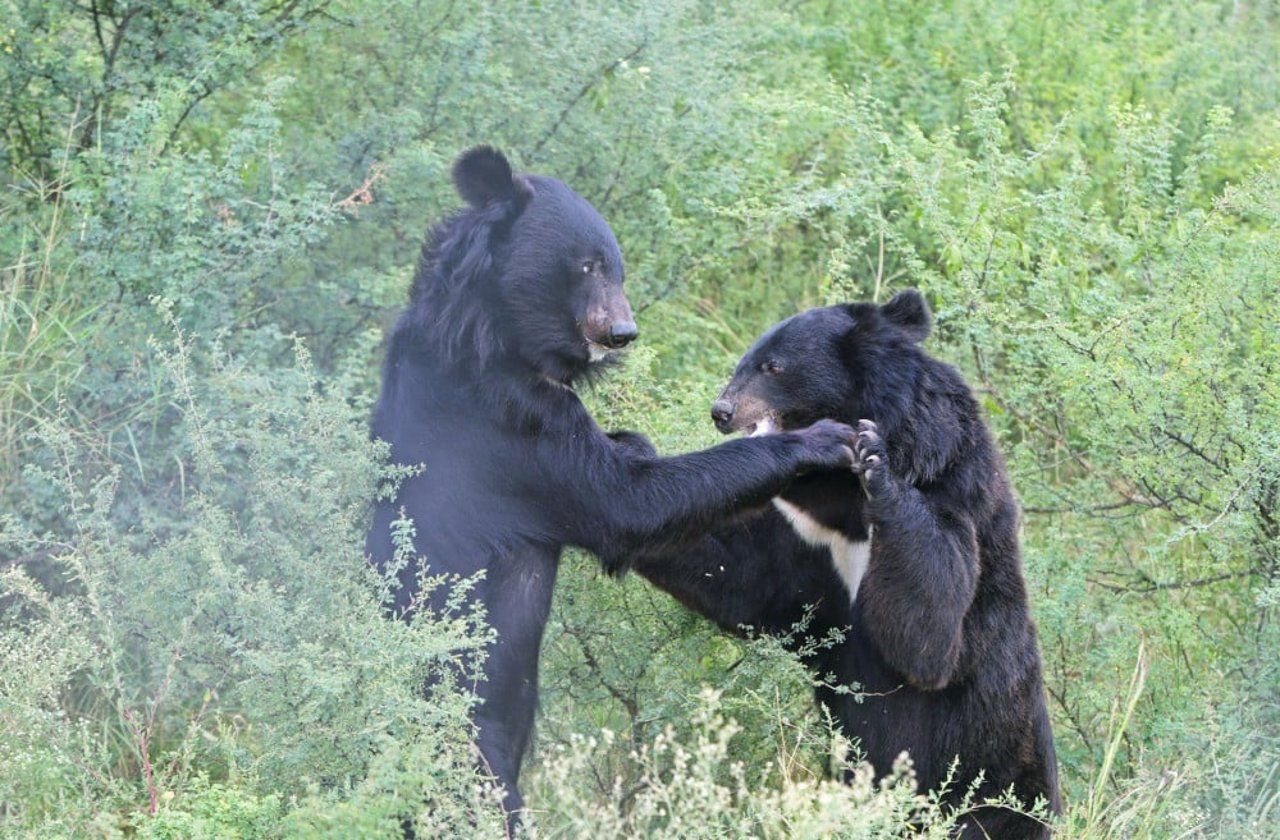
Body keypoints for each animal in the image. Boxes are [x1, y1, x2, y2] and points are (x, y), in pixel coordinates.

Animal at [363, 145, 860, 824]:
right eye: (587, 264)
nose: (623, 332)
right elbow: (624, 502)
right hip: (462, 736)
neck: (488, 332)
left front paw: (633, 436)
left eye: (617, 267)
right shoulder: (512, 426)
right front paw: (823, 439)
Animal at [629, 290, 1059, 840]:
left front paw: (873, 454)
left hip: (997, 759)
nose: (721, 411)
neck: (843, 505)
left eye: (772, 365)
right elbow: (745, 574)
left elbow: (934, 628)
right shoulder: (808, 538)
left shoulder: (957, 490)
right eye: (743, 360)